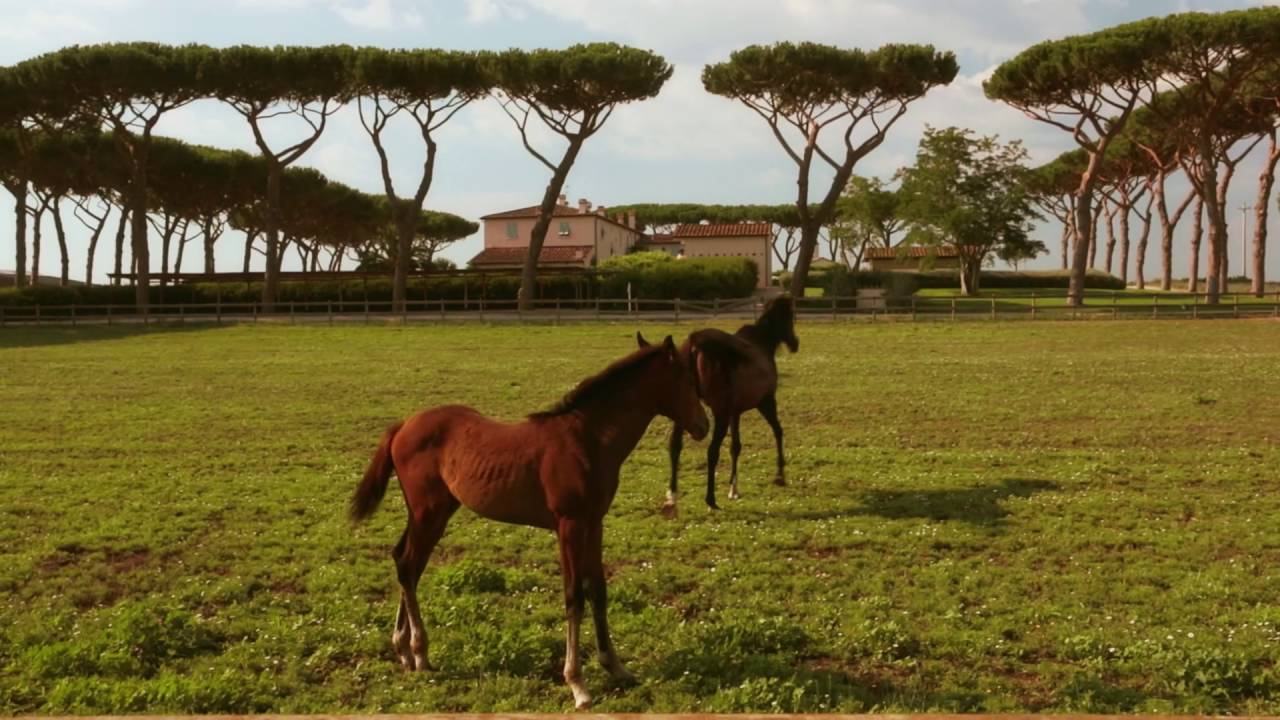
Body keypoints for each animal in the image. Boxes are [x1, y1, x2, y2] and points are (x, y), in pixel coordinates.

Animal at [350, 338, 711, 707]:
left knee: (406, 562)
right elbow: (574, 596)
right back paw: (420, 653)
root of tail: (402, 425)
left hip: (433, 512)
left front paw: (616, 667)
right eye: (686, 378)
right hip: (429, 511)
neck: (588, 439)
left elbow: (598, 590)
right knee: (408, 564)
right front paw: (578, 684)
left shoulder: (594, 523)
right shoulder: (569, 526)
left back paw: (404, 650)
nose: (703, 425)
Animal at [660, 294, 798, 512]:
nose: (795, 343)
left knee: (675, 446)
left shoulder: (736, 411)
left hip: (685, 410)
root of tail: (695, 345)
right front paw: (780, 475)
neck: (762, 343)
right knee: (712, 451)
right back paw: (710, 499)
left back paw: (672, 495)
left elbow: (736, 446)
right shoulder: (766, 402)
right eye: (790, 317)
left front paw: (734, 489)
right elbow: (778, 431)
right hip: (720, 413)